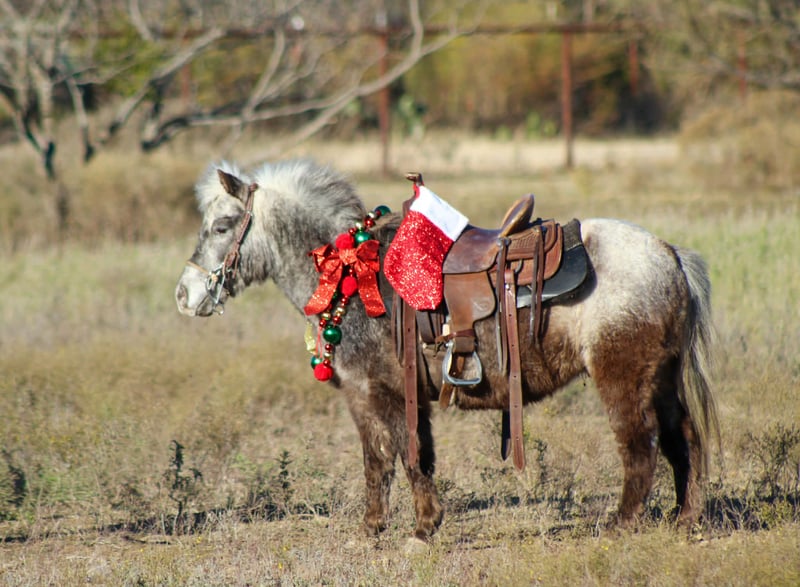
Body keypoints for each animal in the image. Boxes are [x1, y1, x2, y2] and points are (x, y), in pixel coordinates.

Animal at [174, 158, 719, 540]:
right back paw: (684, 520)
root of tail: (668, 253)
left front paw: (416, 530)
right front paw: (382, 529)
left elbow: (398, 457)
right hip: (661, 378)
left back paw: (620, 526)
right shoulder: (387, 397)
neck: (352, 273)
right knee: (685, 441)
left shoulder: (379, 393)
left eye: (221, 226)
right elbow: (393, 459)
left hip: (623, 379)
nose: (185, 294)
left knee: (641, 447)